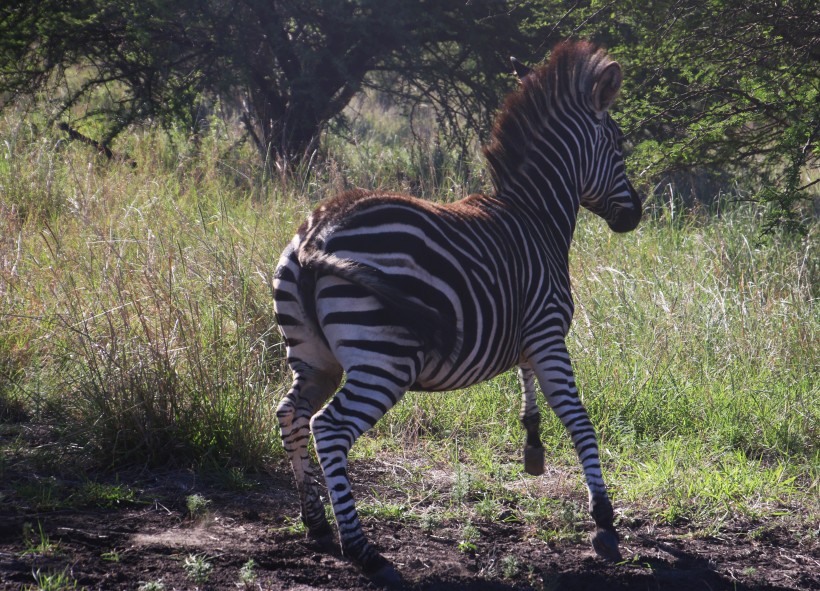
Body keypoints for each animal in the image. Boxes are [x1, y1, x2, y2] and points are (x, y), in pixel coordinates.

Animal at [272, 41, 644, 588]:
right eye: (618, 147)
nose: (634, 215)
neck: (537, 215)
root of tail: (317, 234)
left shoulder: (527, 334)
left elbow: (531, 393)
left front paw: (533, 450)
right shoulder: (549, 332)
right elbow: (578, 418)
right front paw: (604, 523)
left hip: (314, 357)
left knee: (292, 414)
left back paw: (315, 523)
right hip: (383, 359)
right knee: (329, 429)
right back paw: (364, 551)